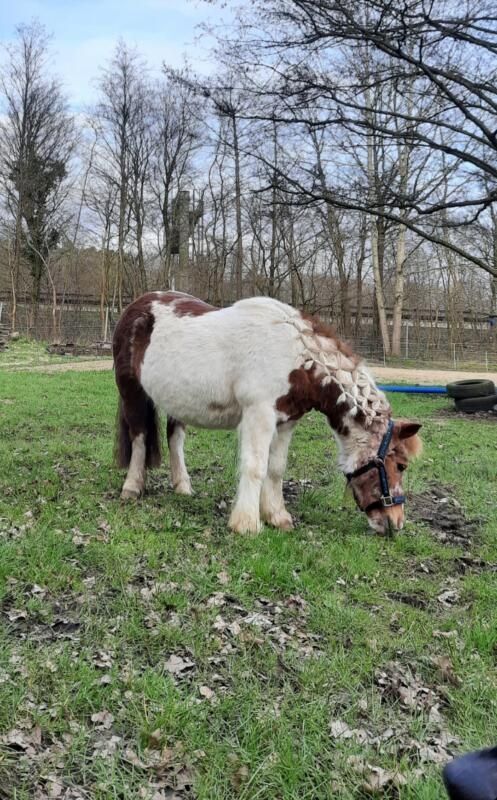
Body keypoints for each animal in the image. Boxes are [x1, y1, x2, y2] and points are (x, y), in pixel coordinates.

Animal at [113, 291, 422, 535]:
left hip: (177, 402)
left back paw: (183, 487)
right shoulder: (259, 415)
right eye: (401, 465)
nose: (396, 523)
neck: (296, 360)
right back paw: (132, 488)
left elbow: (275, 468)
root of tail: (137, 305)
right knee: (139, 438)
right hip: (132, 392)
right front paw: (247, 524)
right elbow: (255, 466)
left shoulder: (286, 421)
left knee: (174, 439)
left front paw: (277, 516)